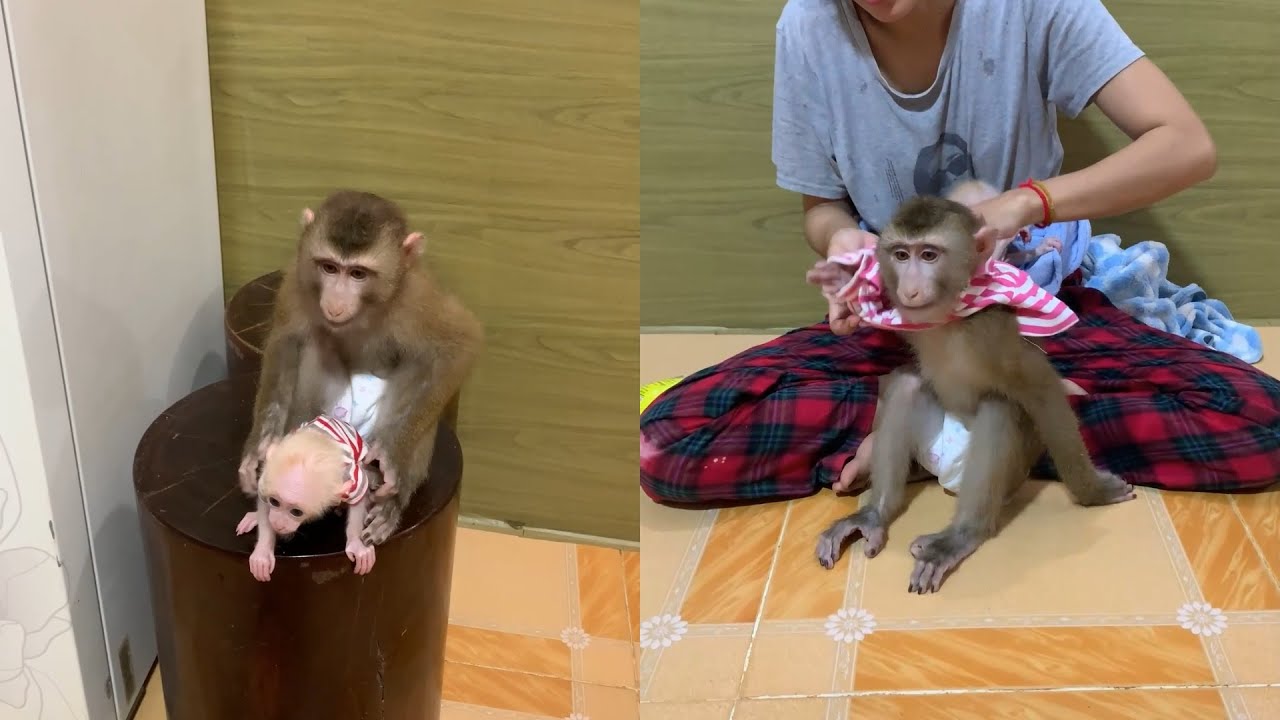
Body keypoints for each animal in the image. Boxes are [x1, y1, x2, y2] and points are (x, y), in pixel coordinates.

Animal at [235, 415, 380, 581]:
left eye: (296, 512)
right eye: (274, 502)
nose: (278, 524)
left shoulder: (351, 478)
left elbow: (358, 501)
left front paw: (356, 542)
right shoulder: (267, 476)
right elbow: (264, 503)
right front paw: (263, 551)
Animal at [237, 190, 483, 547]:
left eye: (358, 274)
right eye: (329, 267)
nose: (336, 304)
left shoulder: (416, 297)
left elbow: (459, 345)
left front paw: (392, 456)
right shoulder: (298, 279)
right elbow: (286, 341)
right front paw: (261, 443)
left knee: (419, 364)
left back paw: (392, 501)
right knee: (315, 345)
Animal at [810, 195, 1135, 594]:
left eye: (929, 255)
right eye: (901, 255)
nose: (909, 290)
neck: (950, 315)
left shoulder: (992, 328)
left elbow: (1042, 388)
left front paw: (1093, 492)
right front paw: (842, 278)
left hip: (1015, 469)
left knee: (1001, 408)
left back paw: (961, 535)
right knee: (907, 384)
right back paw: (874, 514)